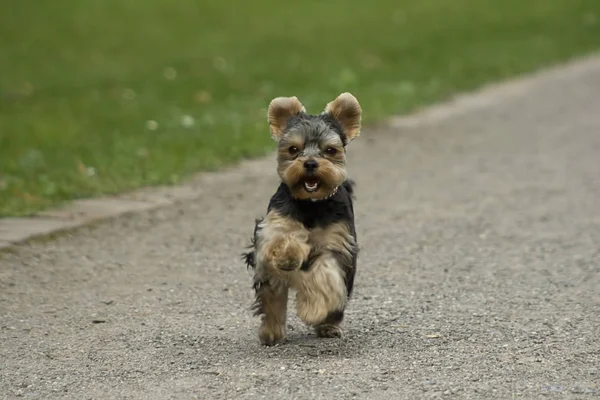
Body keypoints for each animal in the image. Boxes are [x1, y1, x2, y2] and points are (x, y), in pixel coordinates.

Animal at [243, 93, 360, 344]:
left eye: (330, 150)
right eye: (293, 149)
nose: (310, 163)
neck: (311, 204)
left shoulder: (337, 244)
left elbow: (325, 275)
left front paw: (313, 309)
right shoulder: (272, 226)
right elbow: (279, 238)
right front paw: (288, 253)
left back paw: (328, 326)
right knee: (272, 296)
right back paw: (272, 331)